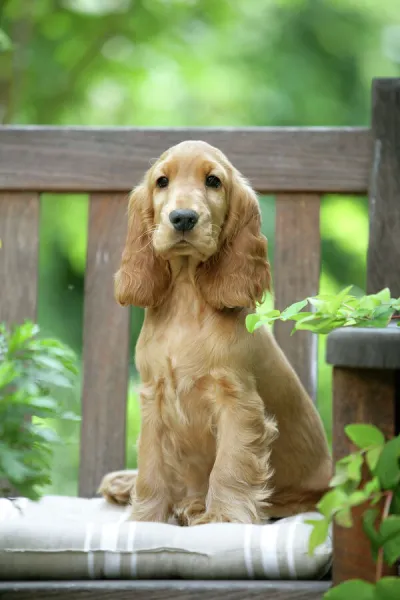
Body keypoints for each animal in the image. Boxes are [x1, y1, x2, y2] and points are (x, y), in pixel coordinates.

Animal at [100, 141, 332, 524]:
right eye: (162, 181)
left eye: (213, 181)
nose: (182, 218)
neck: (187, 298)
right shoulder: (154, 398)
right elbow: (151, 464)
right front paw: (145, 518)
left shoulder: (238, 403)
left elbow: (230, 465)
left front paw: (223, 516)